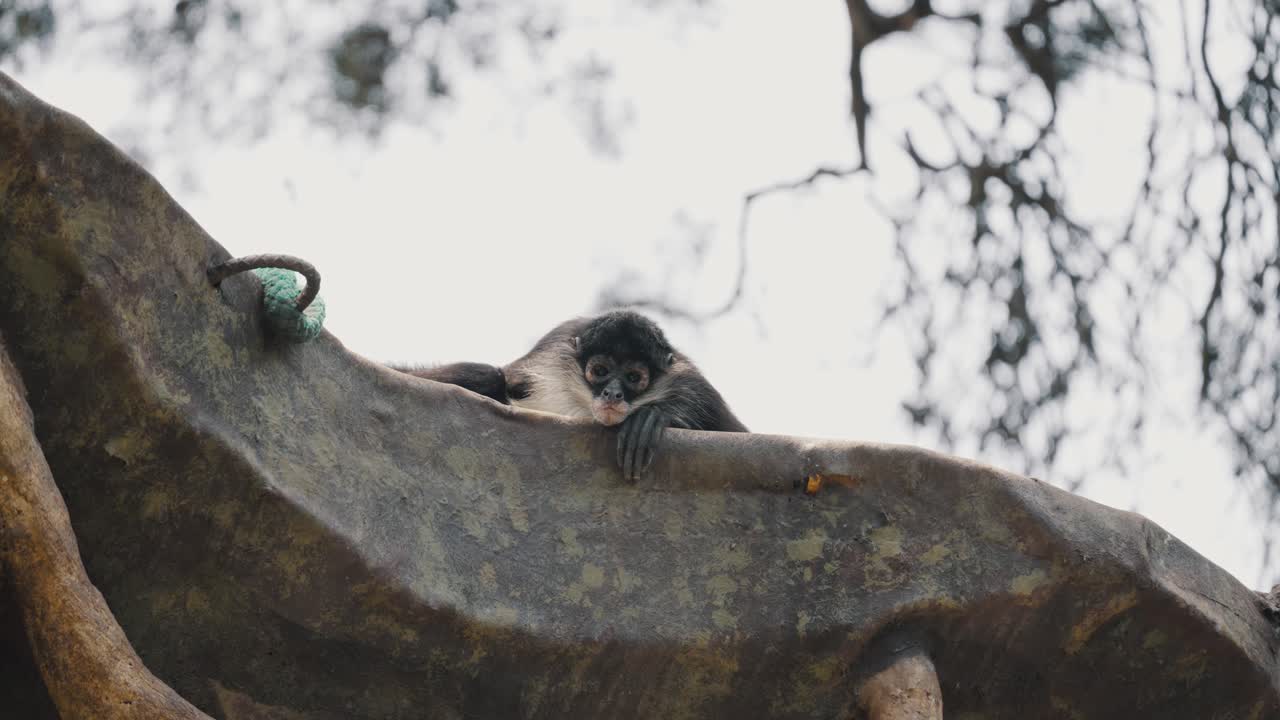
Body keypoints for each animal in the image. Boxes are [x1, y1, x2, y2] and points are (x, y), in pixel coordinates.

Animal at [394, 310, 747, 479]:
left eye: (634, 378)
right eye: (600, 370)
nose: (612, 393)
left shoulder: (692, 384)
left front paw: (653, 416)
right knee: (489, 375)